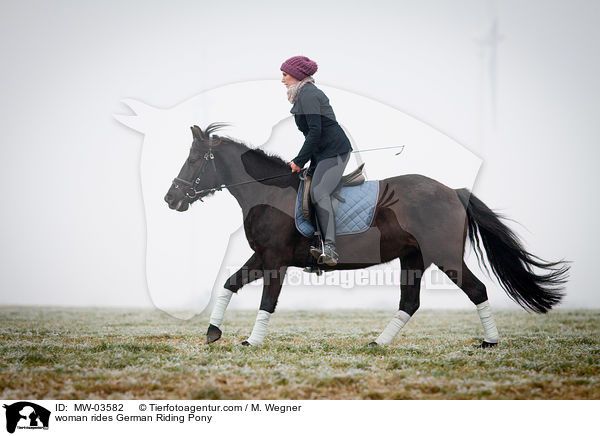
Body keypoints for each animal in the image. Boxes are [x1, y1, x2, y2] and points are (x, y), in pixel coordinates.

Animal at [164, 123, 568, 348]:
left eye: (194, 160)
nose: (170, 198)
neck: (269, 193)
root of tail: (454, 191)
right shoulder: (262, 256)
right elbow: (230, 283)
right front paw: (213, 332)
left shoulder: (275, 261)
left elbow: (267, 302)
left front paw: (251, 341)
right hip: (413, 259)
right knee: (410, 303)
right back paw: (378, 343)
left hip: (446, 257)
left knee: (477, 290)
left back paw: (489, 341)